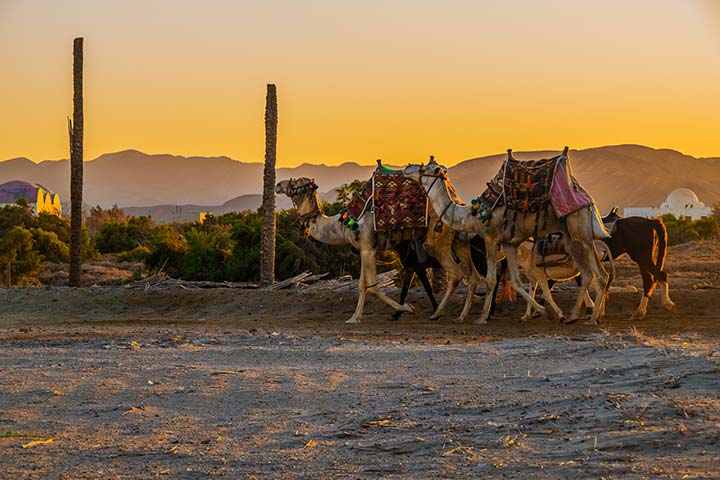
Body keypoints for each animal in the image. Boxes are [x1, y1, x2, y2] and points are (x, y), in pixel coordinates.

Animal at [402, 148, 612, 324]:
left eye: (425, 169)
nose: (406, 167)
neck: (473, 215)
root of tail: (586, 198)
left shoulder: (491, 238)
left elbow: (491, 280)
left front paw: (482, 318)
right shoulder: (510, 243)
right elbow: (516, 282)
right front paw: (546, 312)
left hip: (578, 230)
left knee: (595, 274)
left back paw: (589, 318)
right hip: (573, 237)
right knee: (595, 274)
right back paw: (581, 316)